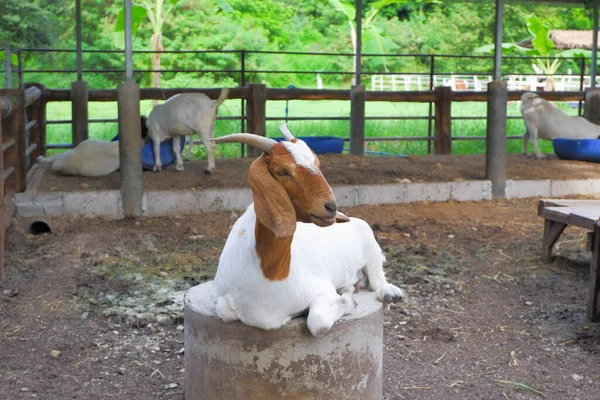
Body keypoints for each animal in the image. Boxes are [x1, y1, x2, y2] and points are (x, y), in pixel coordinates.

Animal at [209, 126, 406, 338]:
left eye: (317, 163)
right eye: (283, 171)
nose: (331, 207)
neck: (270, 271)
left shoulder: (321, 289)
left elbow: (318, 322)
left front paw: (347, 300)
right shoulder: (221, 295)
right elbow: (224, 309)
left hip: (370, 244)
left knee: (378, 280)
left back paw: (390, 293)